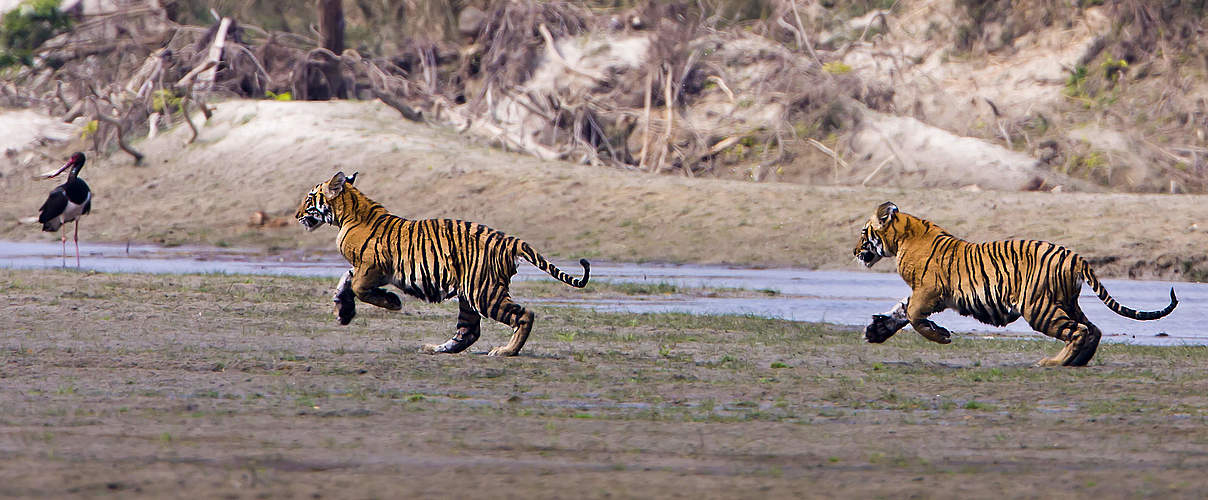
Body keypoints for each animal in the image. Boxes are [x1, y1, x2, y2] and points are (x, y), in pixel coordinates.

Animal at [295, 171, 590, 357]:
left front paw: (392, 302)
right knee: (468, 332)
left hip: (483, 292)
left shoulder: (372, 267)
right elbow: (345, 281)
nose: (296, 215)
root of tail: (509, 239)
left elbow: (357, 286)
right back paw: (435, 349)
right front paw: (343, 311)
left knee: (524, 315)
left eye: (309, 198)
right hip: (469, 295)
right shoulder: (363, 268)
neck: (348, 214)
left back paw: (506, 352)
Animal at [852, 201, 1177, 367]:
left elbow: (913, 315)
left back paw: (1053, 362)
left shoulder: (929, 291)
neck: (902, 237)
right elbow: (901, 311)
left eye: (863, 233)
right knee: (1093, 329)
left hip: (1038, 307)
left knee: (1079, 331)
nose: (854, 251)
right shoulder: (923, 293)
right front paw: (876, 331)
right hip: (1064, 301)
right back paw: (1077, 362)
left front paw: (940, 335)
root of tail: (1074, 255)